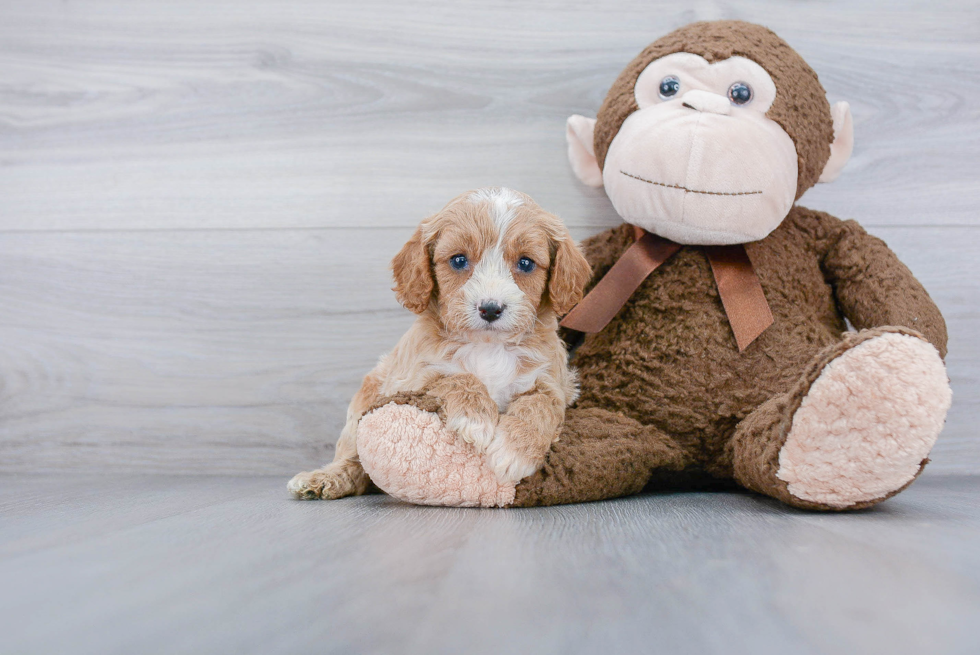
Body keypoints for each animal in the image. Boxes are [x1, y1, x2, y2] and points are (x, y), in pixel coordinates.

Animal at [286, 187, 588, 500]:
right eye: (458, 260)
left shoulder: (553, 383)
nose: (490, 309)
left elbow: (540, 404)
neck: (488, 346)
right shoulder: (411, 378)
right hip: (363, 404)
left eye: (526, 263)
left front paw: (514, 452)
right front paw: (475, 420)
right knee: (354, 461)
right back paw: (323, 479)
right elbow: (454, 377)